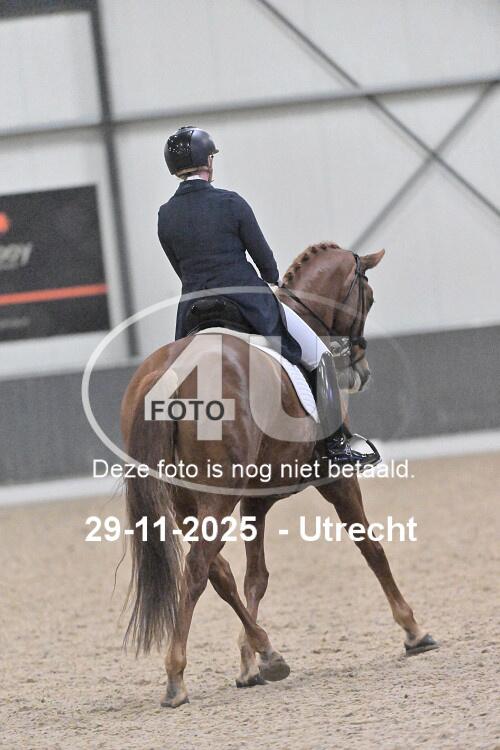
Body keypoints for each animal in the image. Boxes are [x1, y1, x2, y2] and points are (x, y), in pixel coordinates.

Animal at [120, 242, 437, 708]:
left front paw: (249, 663)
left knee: (217, 570)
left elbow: (256, 578)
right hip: (218, 497)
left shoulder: (255, 500)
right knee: (196, 568)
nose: (361, 372)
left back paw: (268, 652)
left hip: (185, 499)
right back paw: (176, 676)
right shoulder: (337, 481)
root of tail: (169, 372)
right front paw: (414, 630)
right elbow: (372, 548)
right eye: (369, 297)